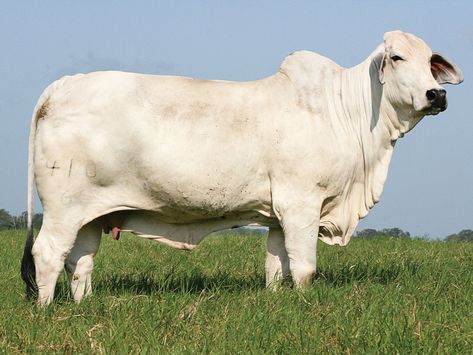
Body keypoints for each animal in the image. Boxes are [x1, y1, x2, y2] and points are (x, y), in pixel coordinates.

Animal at [21, 29, 460, 306]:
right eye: (397, 57)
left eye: (431, 63)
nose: (436, 95)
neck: (347, 111)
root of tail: (63, 85)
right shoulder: (302, 204)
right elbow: (304, 268)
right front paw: (305, 304)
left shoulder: (279, 215)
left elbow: (275, 266)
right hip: (62, 208)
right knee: (48, 254)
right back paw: (47, 311)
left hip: (90, 214)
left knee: (80, 260)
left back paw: (84, 305)